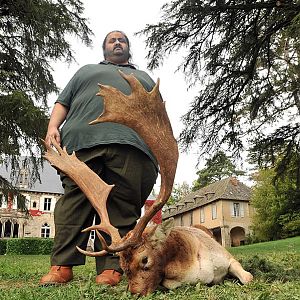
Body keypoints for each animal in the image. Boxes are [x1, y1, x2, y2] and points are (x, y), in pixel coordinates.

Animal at [43, 71, 252, 296]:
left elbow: (248, 277)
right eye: (122, 266)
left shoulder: (229, 258)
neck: (197, 268)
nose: (133, 293)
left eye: (144, 259)